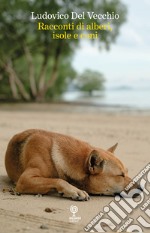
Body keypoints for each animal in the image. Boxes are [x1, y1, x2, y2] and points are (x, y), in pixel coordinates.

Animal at [4, 128, 135, 201]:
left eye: (127, 172)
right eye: (120, 175)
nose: (140, 187)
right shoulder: (25, 179)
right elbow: (59, 180)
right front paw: (75, 191)